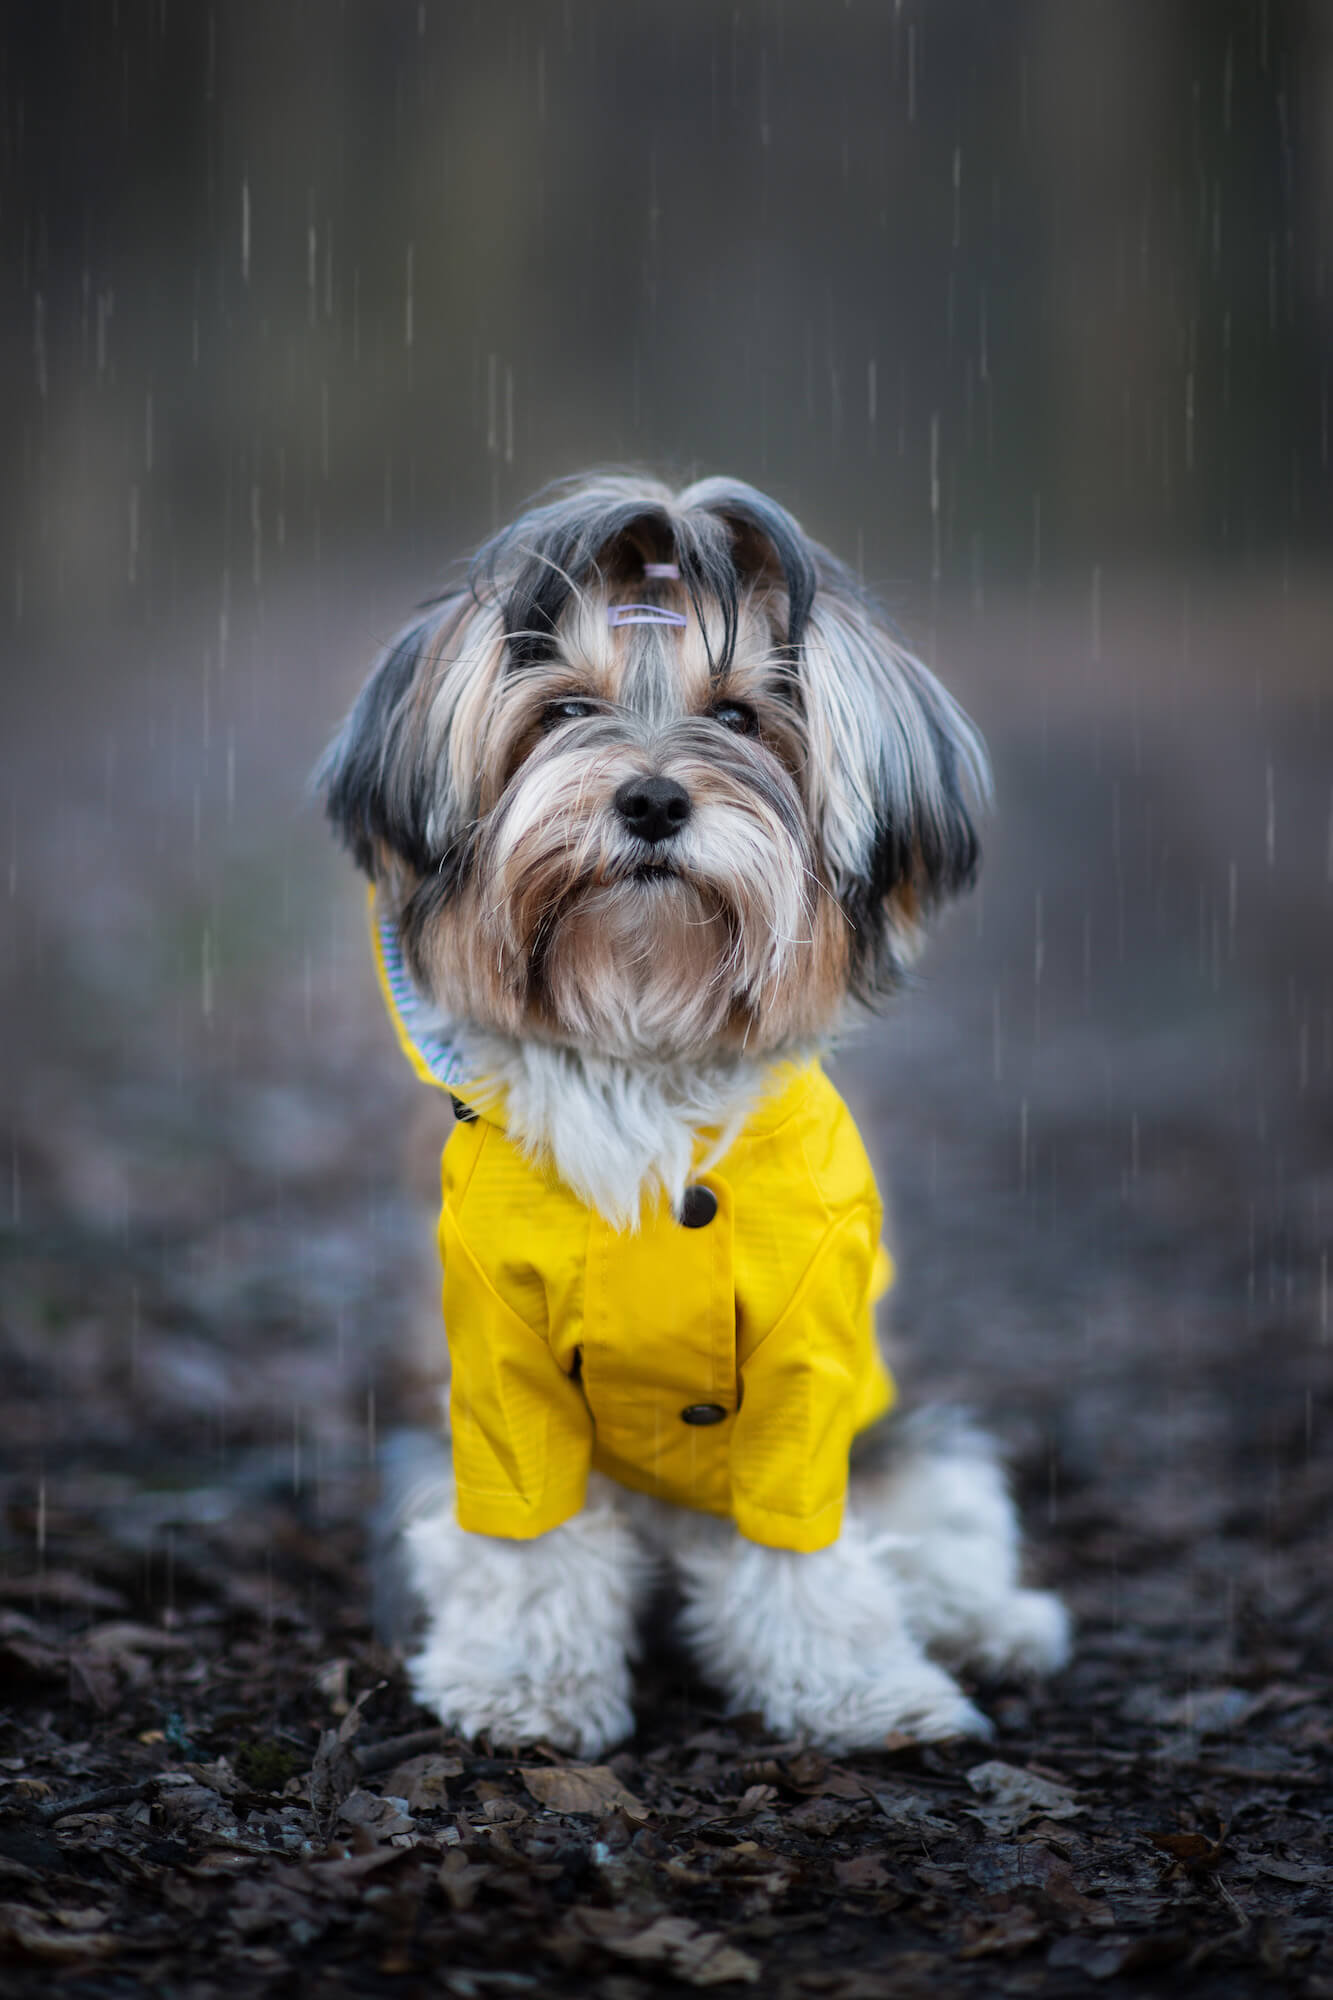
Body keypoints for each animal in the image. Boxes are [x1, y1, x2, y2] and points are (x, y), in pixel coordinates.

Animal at [316, 476, 1064, 1760]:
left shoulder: (805, 1375)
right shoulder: (499, 1374)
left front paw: (855, 1687)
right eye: (565, 709)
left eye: (743, 718)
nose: (654, 797)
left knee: (947, 1529)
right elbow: (532, 1543)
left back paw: (996, 1626)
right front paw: (525, 1684)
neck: (645, 1049)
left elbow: (802, 1547)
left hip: (911, 1444)